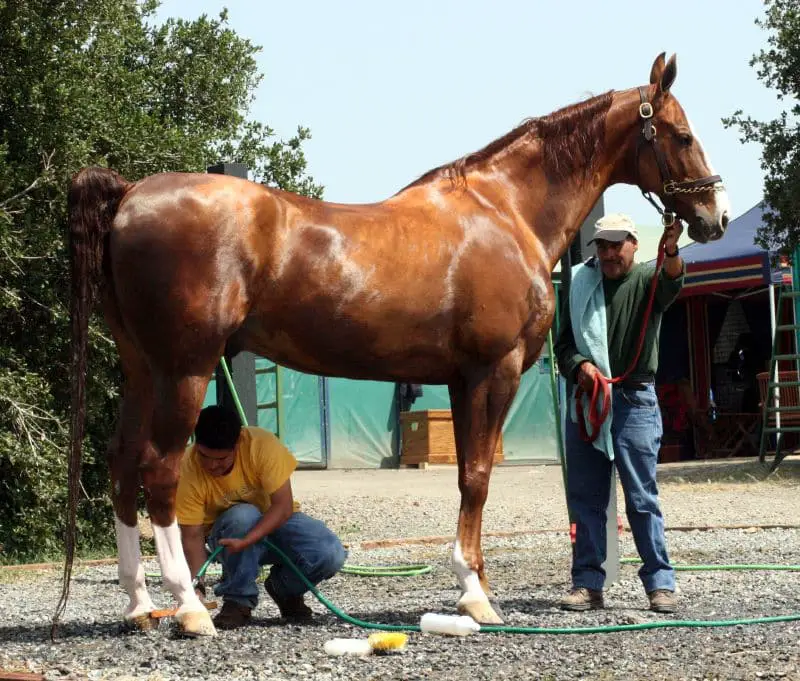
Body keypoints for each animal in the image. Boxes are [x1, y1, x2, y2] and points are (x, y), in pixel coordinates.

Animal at [56, 51, 732, 632]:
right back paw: (191, 609)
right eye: (680, 134)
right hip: (186, 367)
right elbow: (478, 476)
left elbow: (466, 477)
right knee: (159, 470)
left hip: (143, 367)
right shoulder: (495, 370)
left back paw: (140, 606)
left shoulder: (460, 379)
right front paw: (476, 598)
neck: (504, 211)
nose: (716, 216)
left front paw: (473, 585)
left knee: (121, 463)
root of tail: (130, 196)